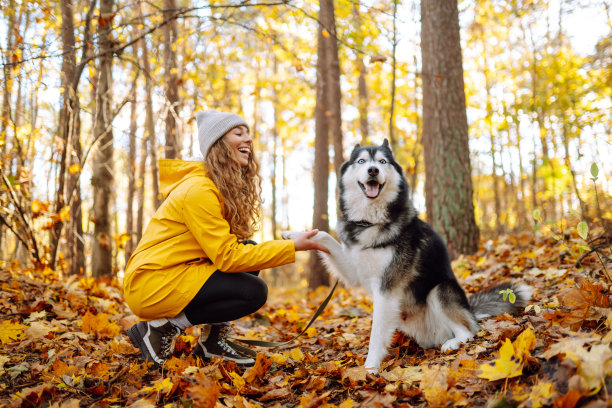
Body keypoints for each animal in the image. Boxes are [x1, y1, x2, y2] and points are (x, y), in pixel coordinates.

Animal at [282, 139, 532, 372]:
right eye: (361, 161)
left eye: (382, 161)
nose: (373, 170)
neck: (371, 222)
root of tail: (471, 309)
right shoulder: (354, 270)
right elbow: (323, 235)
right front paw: (294, 236)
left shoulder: (386, 288)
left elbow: (375, 335)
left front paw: (370, 369)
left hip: (440, 290)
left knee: (469, 329)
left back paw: (454, 343)